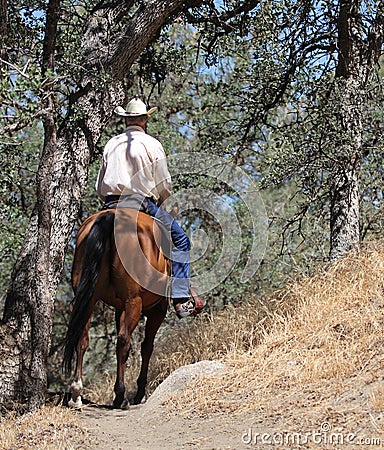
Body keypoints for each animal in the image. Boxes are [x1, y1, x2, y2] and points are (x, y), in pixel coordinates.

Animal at [63, 207, 170, 408]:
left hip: (88, 298)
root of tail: (110, 216)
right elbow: (147, 347)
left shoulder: (120, 308)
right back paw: (120, 395)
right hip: (134, 302)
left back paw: (76, 393)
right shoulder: (156, 310)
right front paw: (140, 392)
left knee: (82, 338)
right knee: (123, 341)